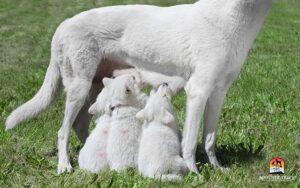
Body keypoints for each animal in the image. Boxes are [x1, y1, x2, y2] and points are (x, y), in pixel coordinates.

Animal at [5, 0, 272, 175]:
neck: (232, 16)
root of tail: (62, 26)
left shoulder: (218, 94)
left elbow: (209, 139)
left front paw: (217, 169)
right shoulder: (198, 92)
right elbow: (189, 142)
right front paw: (194, 174)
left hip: (95, 90)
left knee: (80, 124)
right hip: (78, 89)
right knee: (63, 131)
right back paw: (65, 165)